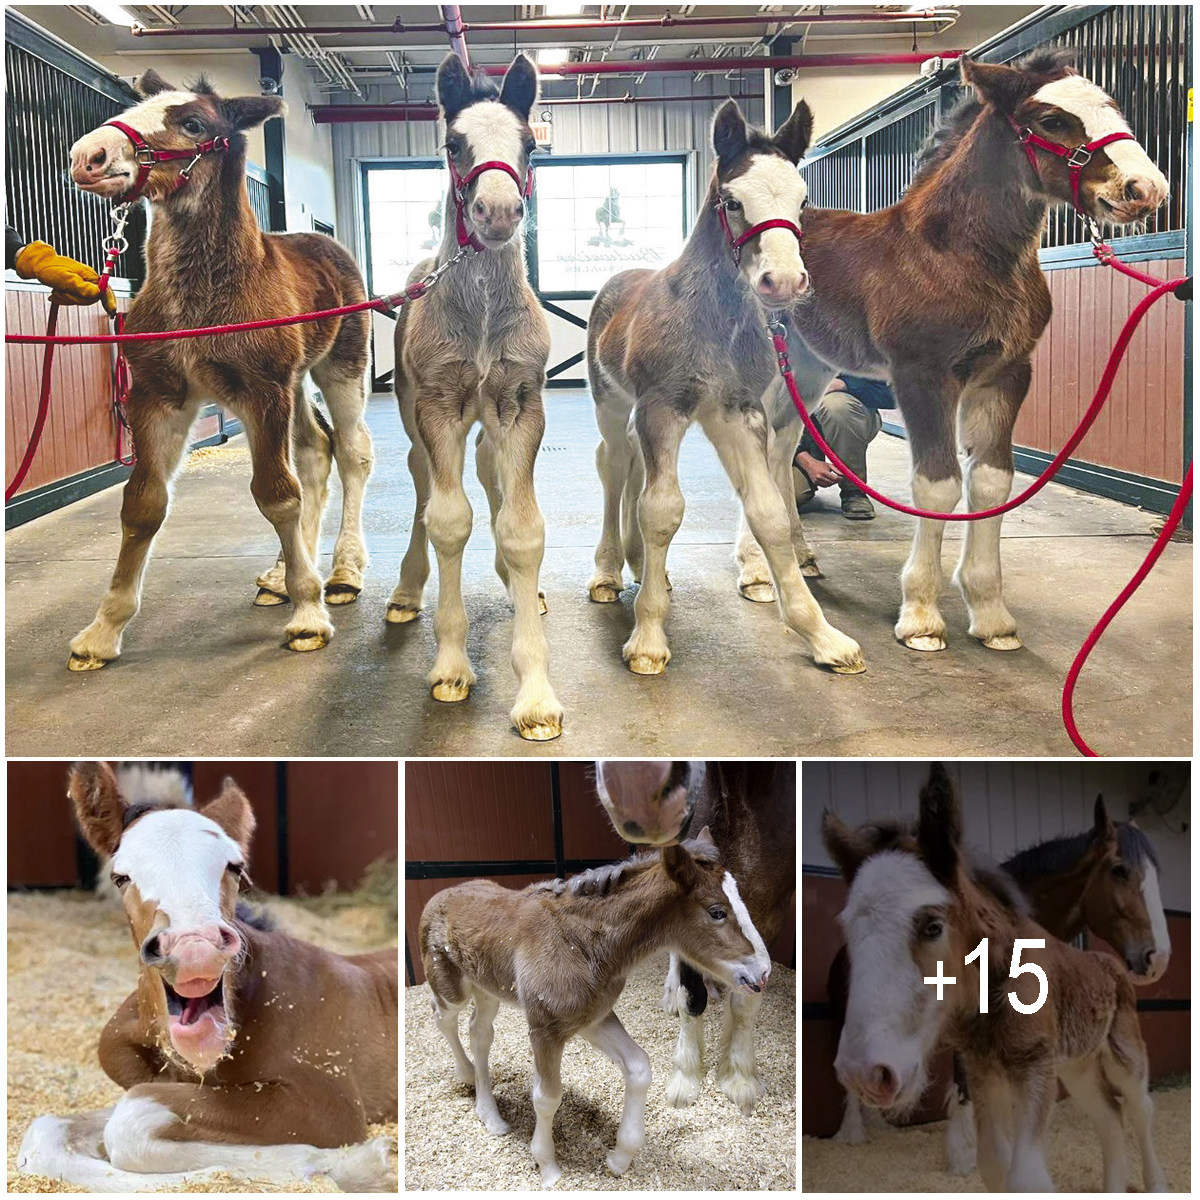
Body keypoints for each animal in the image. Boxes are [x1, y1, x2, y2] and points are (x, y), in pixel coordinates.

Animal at [16, 763, 398, 1195]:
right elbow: (46, 1136)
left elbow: (131, 1120)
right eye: (120, 877)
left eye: (235, 868)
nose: (195, 946)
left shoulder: (330, 1104)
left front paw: (360, 1164)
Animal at [422, 830, 772, 1185]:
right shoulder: (545, 1030)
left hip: (487, 990)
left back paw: (490, 1115)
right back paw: (465, 1073)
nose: (763, 972)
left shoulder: (592, 1018)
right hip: (452, 988)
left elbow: (639, 1067)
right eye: (717, 912)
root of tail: (441, 894)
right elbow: (547, 1097)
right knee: (443, 1018)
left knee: (479, 1032)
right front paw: (548, 1168)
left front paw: (620, 1158)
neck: (580, 942)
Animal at [820, 763, 1166, 1195]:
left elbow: (1025, 1177)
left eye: (933, 927)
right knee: (1110, 1116)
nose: (1156, 957)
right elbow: (994, 1164)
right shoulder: (985, 1069)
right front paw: (963, 1156)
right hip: (1079, 1065)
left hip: (1122, 1054)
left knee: (1139, 1109)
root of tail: (1112, 965)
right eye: (848, 928)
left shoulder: (1034, 1066)